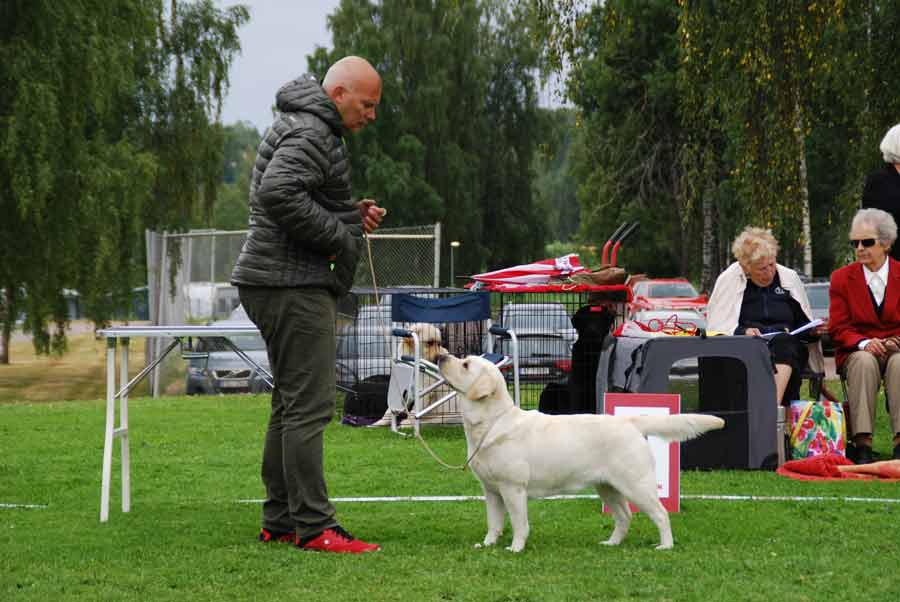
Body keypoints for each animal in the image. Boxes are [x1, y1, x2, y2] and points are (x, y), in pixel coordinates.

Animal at [436, 354, 724, 552]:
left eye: (465, 365)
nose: (441, 356)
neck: (490, 422)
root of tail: (629, 421)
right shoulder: (492, 491)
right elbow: (494, 523)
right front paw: (487, 544)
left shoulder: (513, 488)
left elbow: (519, 523)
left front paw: (515, 548)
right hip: (608, 487)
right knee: (625, 517)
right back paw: (611, 543)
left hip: (636, 485)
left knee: (661, 514)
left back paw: (665, 546)